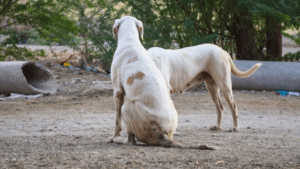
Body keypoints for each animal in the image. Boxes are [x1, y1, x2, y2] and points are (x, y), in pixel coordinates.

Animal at [107, 16, 216, 151]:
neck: (130, 40)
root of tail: (162, 135)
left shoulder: (117, 91)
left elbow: (117, 121)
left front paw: (113, 136)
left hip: (127, 106)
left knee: (131, 141)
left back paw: (118, 139)